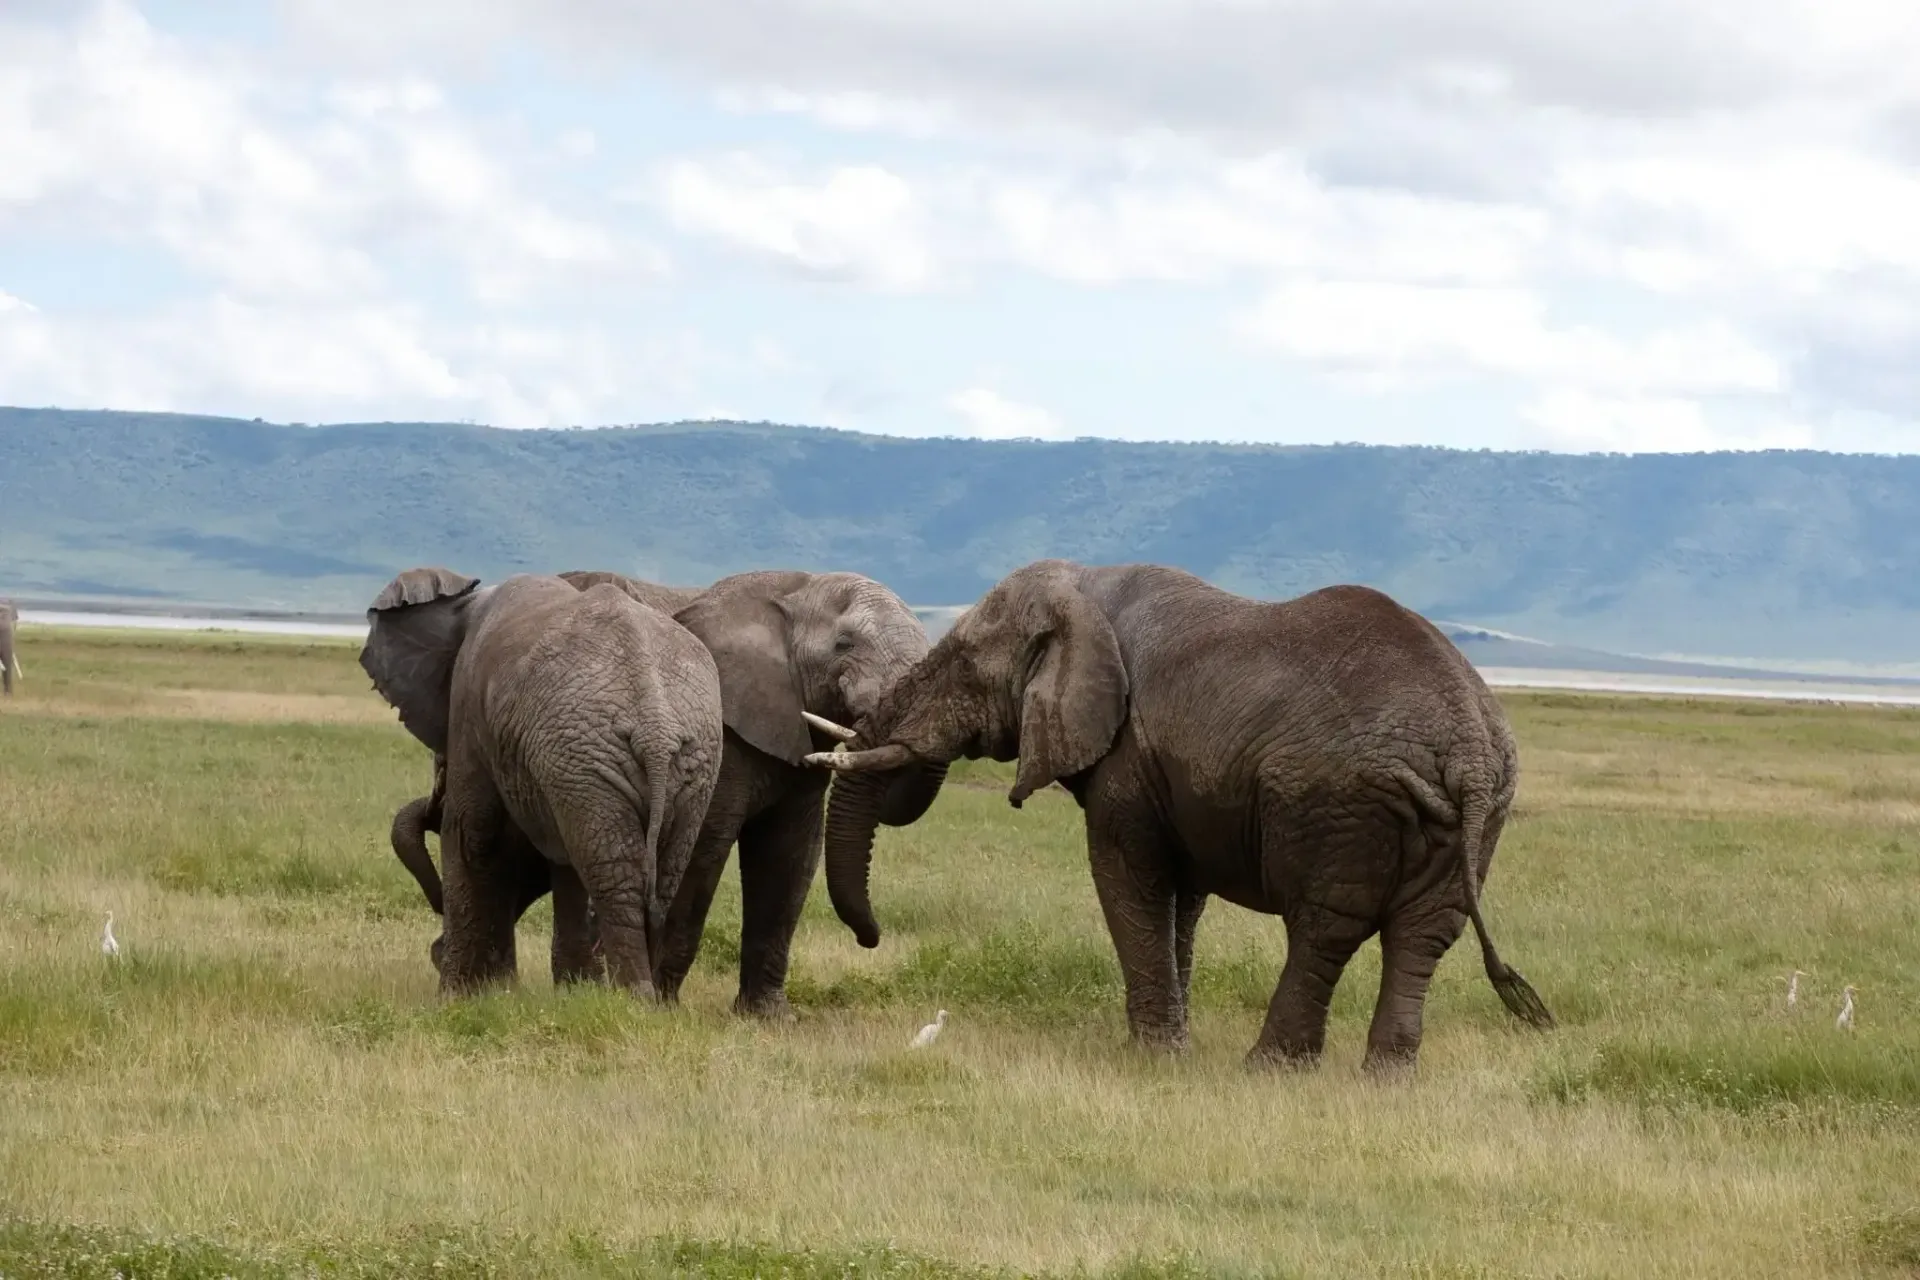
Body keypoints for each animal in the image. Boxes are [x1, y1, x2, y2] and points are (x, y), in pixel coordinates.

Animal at [359, 567, 724, 997]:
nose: (435, 905)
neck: (470, 603)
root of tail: (655, 727)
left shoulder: (470, 704)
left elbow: (472, 834)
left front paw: (458, 999)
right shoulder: (556, 769)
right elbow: (560, 859)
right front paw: (564, 994)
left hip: (593, 755)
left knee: (613, 876)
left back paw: (634, 999)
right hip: (678, 763)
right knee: (655, 876)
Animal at [806, 559, 1553, 1075]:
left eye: (961, 663)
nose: (870, 939)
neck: (1086, 586)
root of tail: (1469, 751)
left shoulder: (1129, 757)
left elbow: (1128, 875)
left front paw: (1153, 1057)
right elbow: (1182, 899)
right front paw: (1175, 1042)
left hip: (1338, 801)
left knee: (1325, 928)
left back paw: (1269, 1070)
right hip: (1476, 813)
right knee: (1423, 937)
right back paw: (1384, 1079)